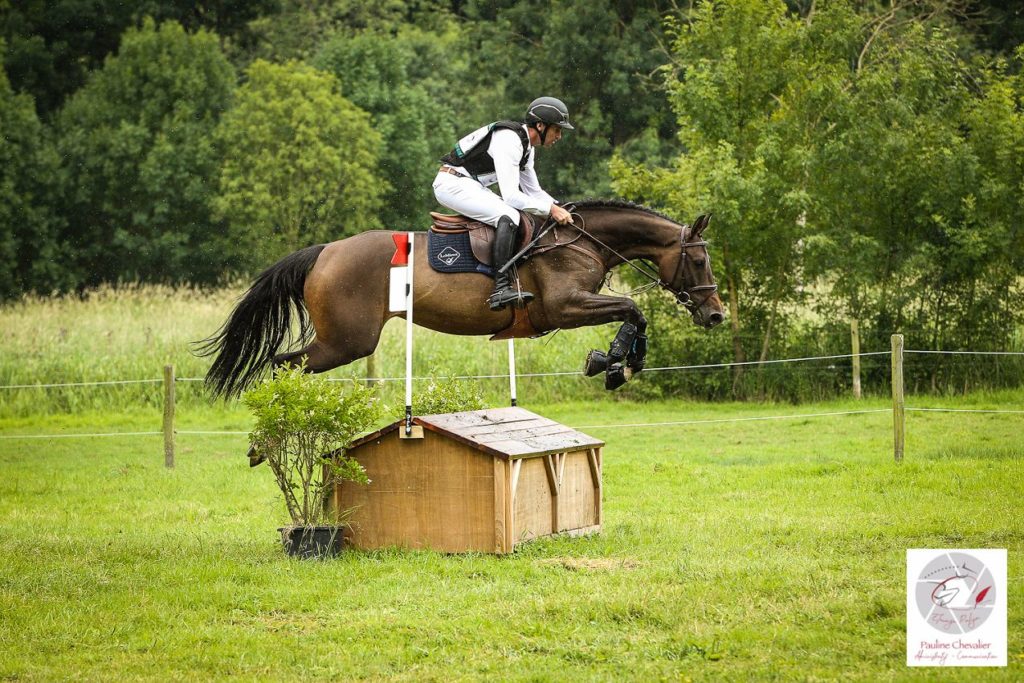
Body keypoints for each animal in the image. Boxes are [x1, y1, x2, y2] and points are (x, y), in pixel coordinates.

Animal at [197, 197, 729, 397]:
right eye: (700, 262)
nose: (716, 315)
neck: (578, 239)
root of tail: (324, 251)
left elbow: (635, 316)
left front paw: (614, 363)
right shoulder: (564, 306)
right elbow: (634, 311)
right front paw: (615, 362)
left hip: (344, 342)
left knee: (284, 364)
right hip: (347, 342)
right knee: (283, 364)